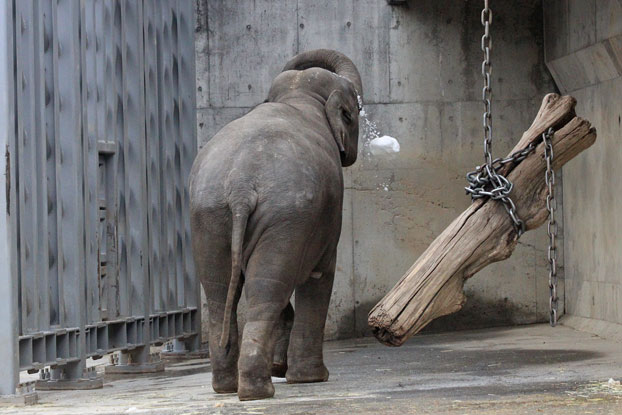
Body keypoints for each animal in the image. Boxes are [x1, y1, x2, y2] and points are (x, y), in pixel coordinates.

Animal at [190, 48, 366, 404]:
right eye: (353, 112)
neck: (298, 96)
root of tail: (241, 186)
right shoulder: (327, 213)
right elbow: (320, 274)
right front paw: (309, 378)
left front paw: (282, 368)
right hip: (286, 215)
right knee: (267, 289)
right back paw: (258, 391)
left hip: (210, 217)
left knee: (221, 291)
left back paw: (228, 387)